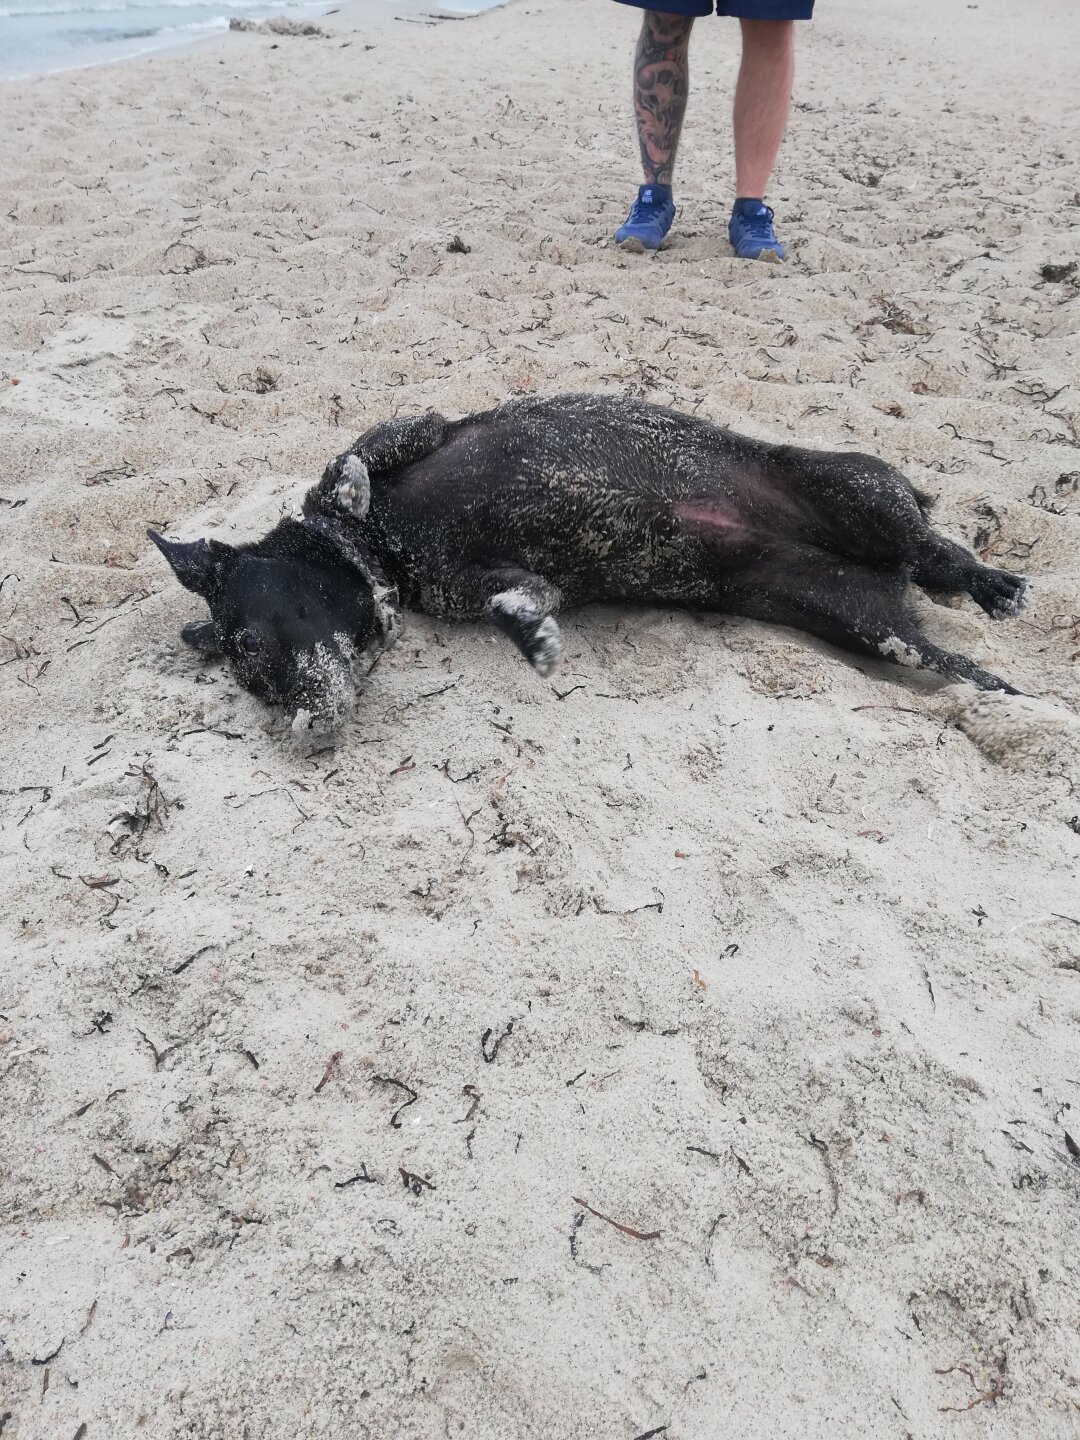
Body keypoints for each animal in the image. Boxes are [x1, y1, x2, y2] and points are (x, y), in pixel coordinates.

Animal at [150, 391, 1031, 731]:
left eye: (253, 645)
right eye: (247, 677)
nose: (300, 726)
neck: (387, 551)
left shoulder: (420, 428)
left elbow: (353, 454)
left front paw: (348, 483)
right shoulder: (484, 581)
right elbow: (515, 600)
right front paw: (532, 634)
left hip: (857, 491)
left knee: (936, 547)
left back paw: (998, 585)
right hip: (867, 620)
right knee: (955, 650)